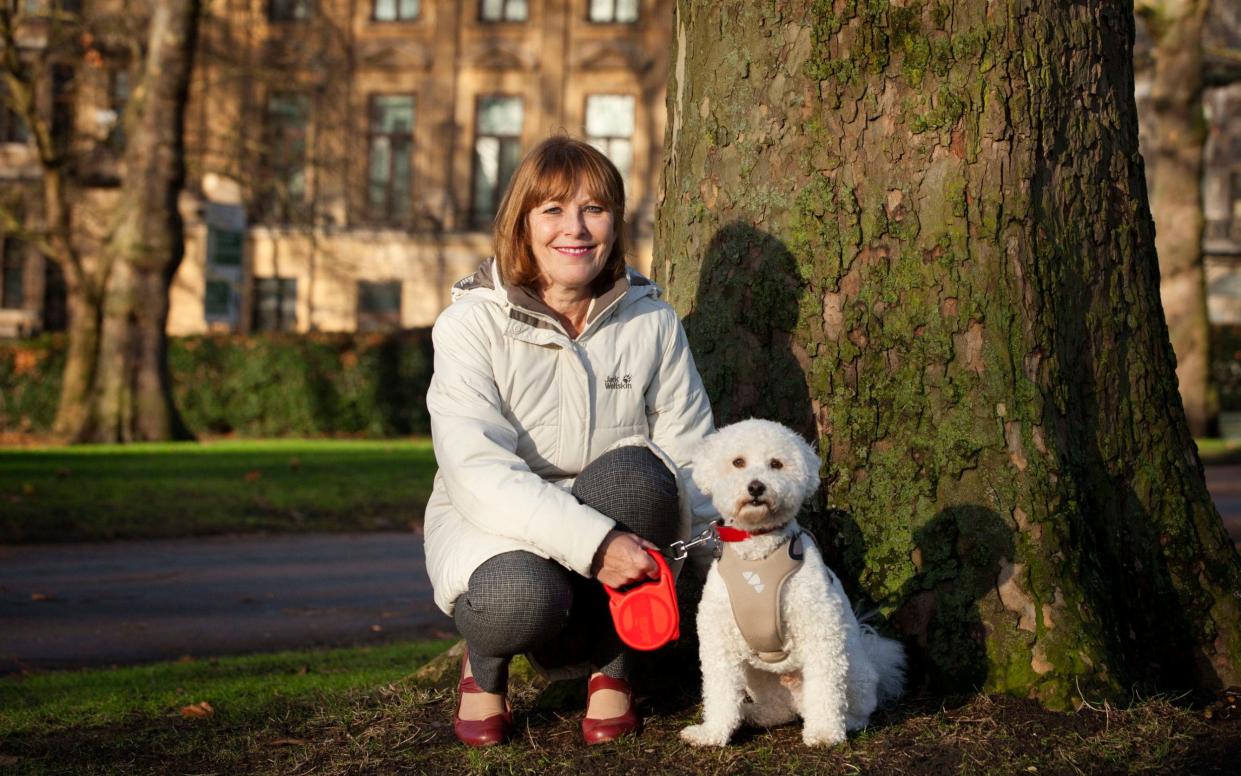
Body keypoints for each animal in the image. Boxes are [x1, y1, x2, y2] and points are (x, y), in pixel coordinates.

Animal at [685, 419, 908, 749]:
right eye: (738, 462)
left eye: (776, 464)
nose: (756, 487)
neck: (758, 552)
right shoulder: (718, 636)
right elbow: (719, 690)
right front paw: (712, 732)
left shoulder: (820, 628)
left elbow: (825, 689)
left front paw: (825, 733)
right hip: (758, 674)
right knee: (779, 709)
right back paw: (753, 713)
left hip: (852, 668)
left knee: (857, 706)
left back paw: (847, 722)